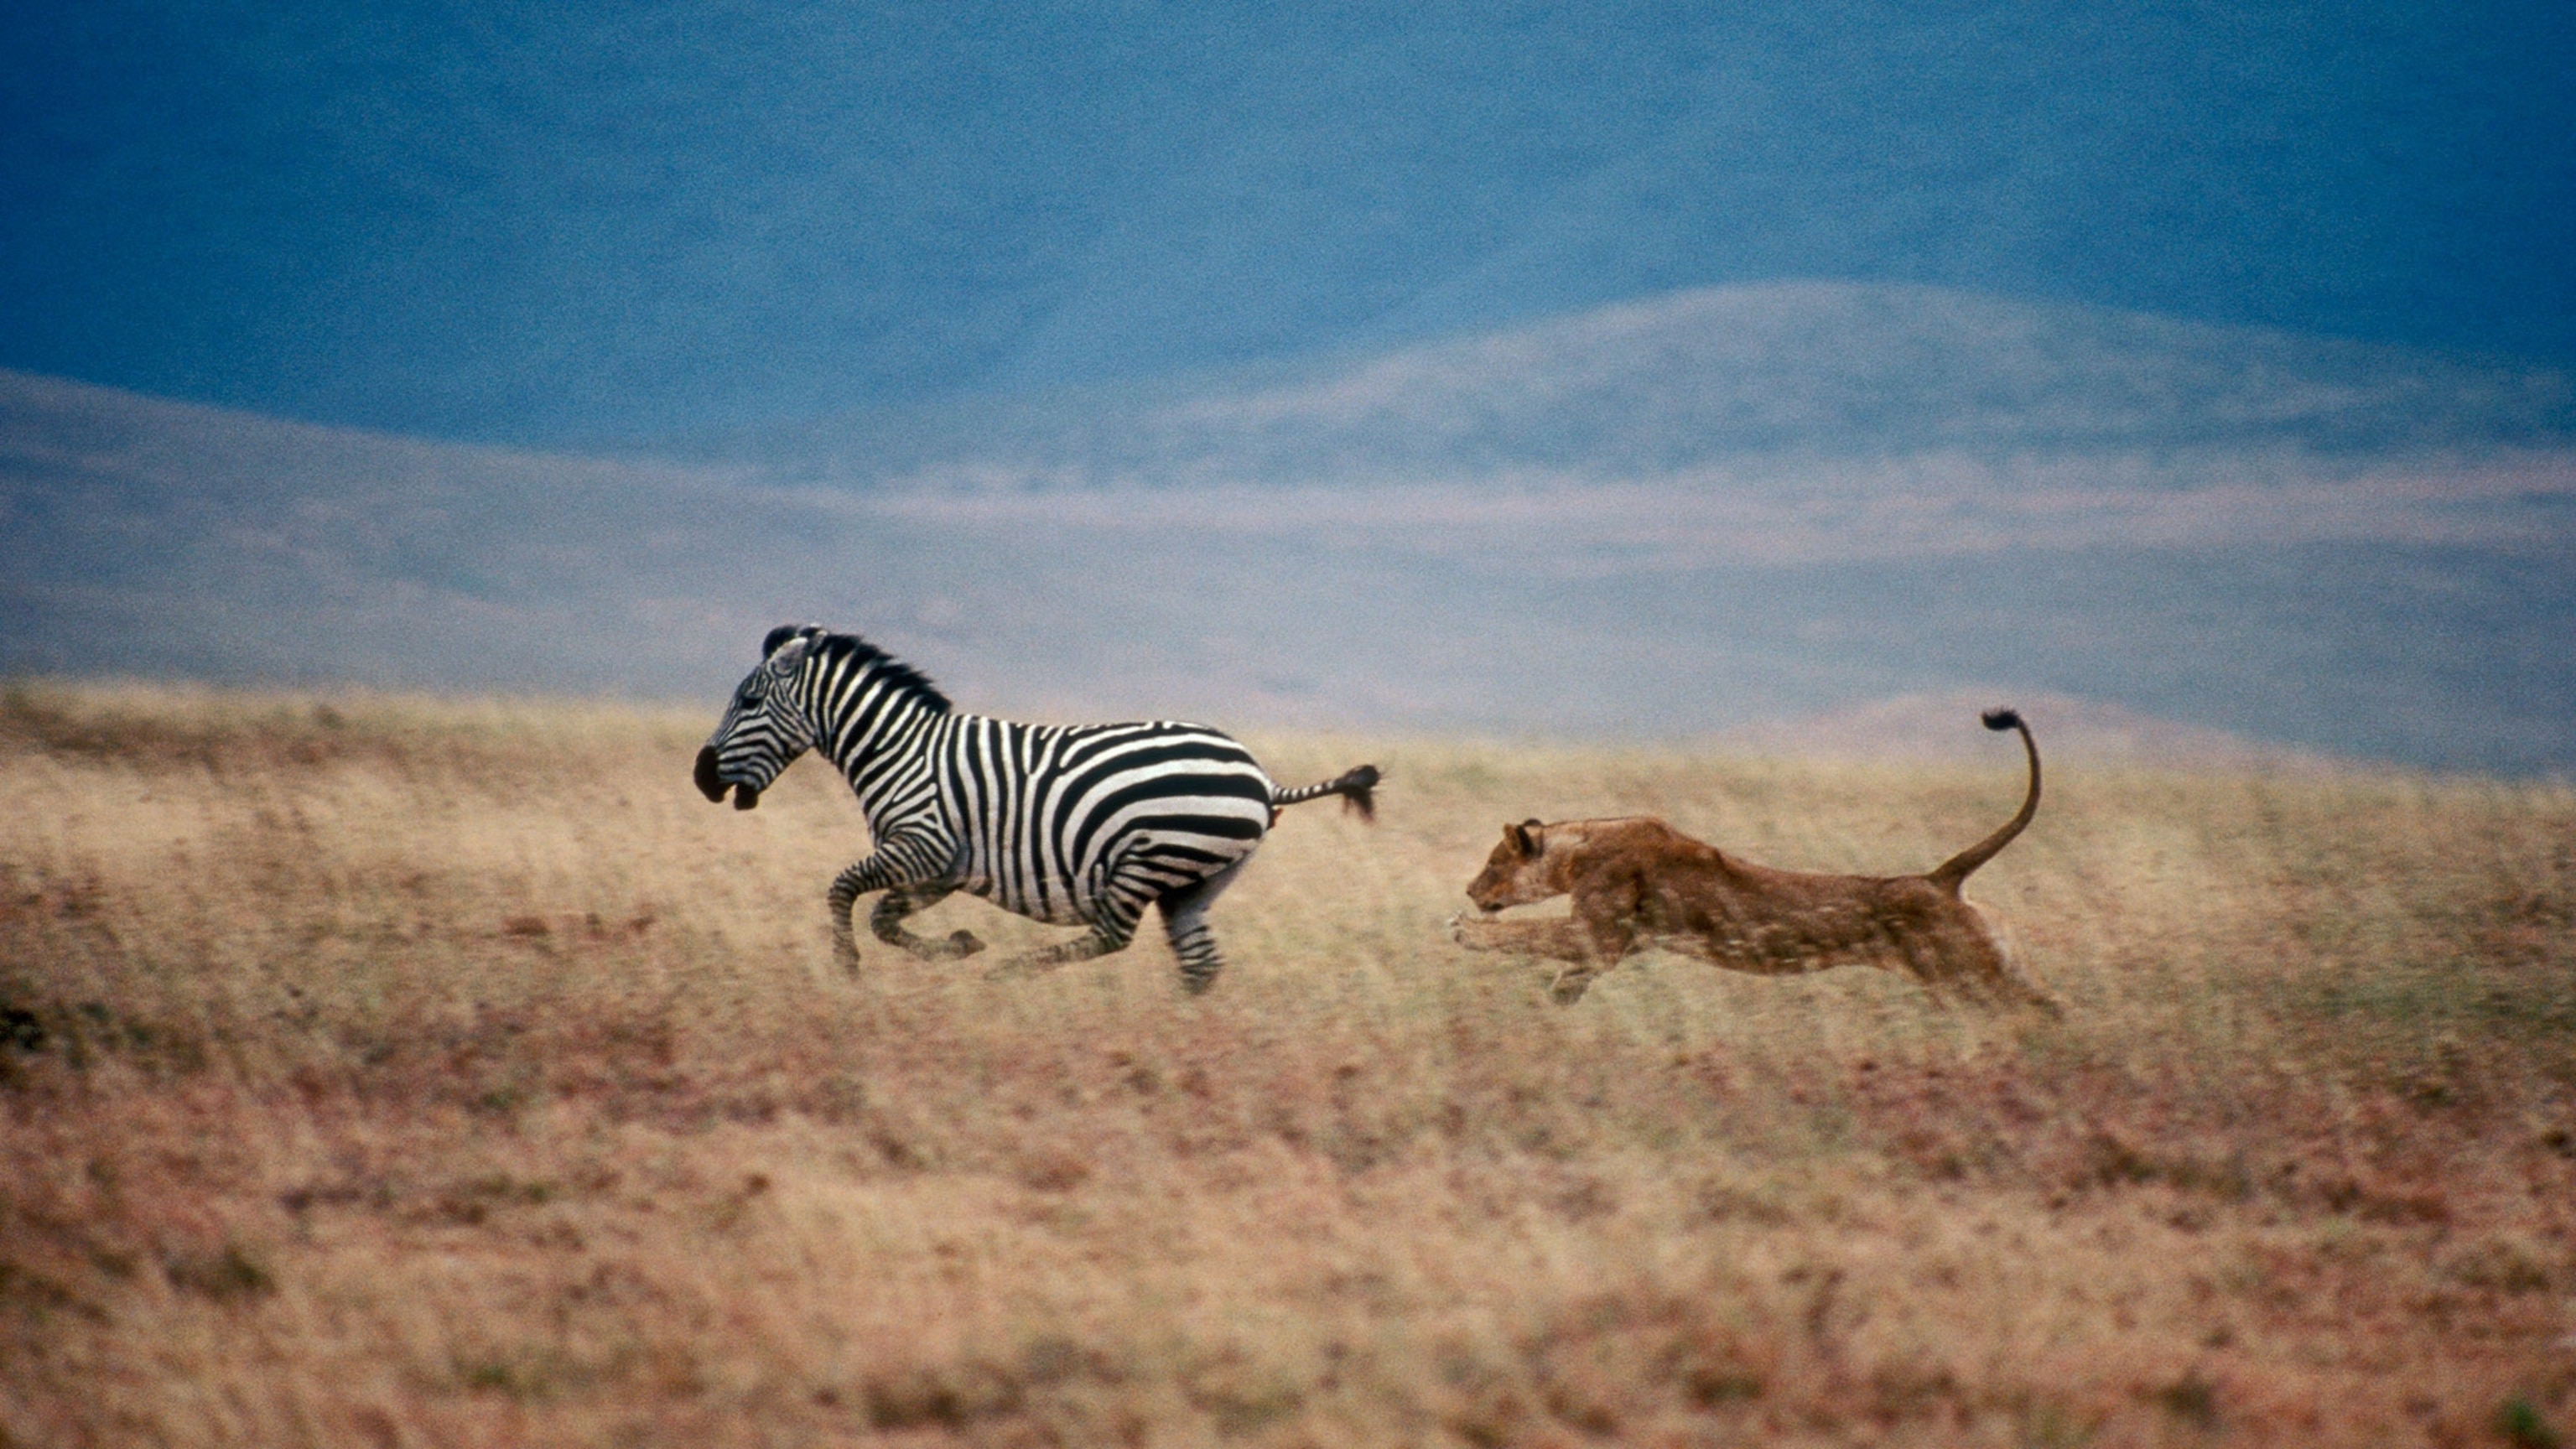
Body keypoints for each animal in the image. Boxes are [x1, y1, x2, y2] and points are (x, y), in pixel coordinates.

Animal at [695, 626, 1380, 984]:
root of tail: (1262, 778)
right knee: (1199, 963)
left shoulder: (922, 846)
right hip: (1197, 881)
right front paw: (960, 944)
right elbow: (886, 918)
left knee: (1112, 934)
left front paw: (848, 970)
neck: (900, 748)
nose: (702, 777)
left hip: (1150, 858)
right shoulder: (941, 868)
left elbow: (842, 892)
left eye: (749, 701)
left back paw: (1012, 972)